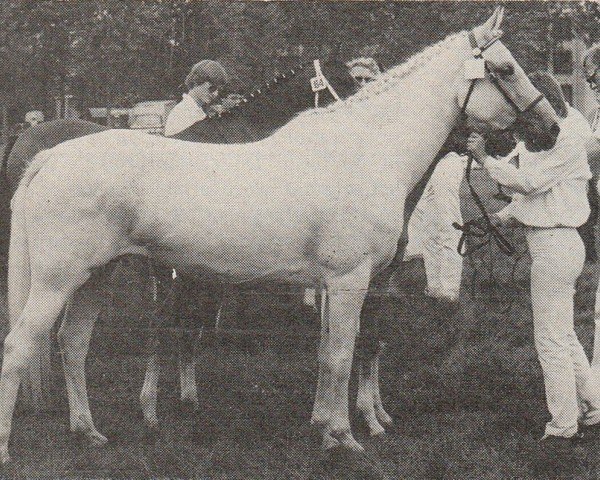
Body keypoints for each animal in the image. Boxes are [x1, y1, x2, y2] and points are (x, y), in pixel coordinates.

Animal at [0, 7, 556, 464]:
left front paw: (326, 427)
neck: (363, 151)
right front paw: (346, 437)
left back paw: (88, 432)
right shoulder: (351, 281)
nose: (550, 129)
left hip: (97, 274)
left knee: (72, 342)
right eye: (506, 69)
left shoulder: (335, 284)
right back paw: (11, 448)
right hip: (56, 280)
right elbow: (343, 354)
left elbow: (328, 354)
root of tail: (48, 155)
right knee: (20, 345)